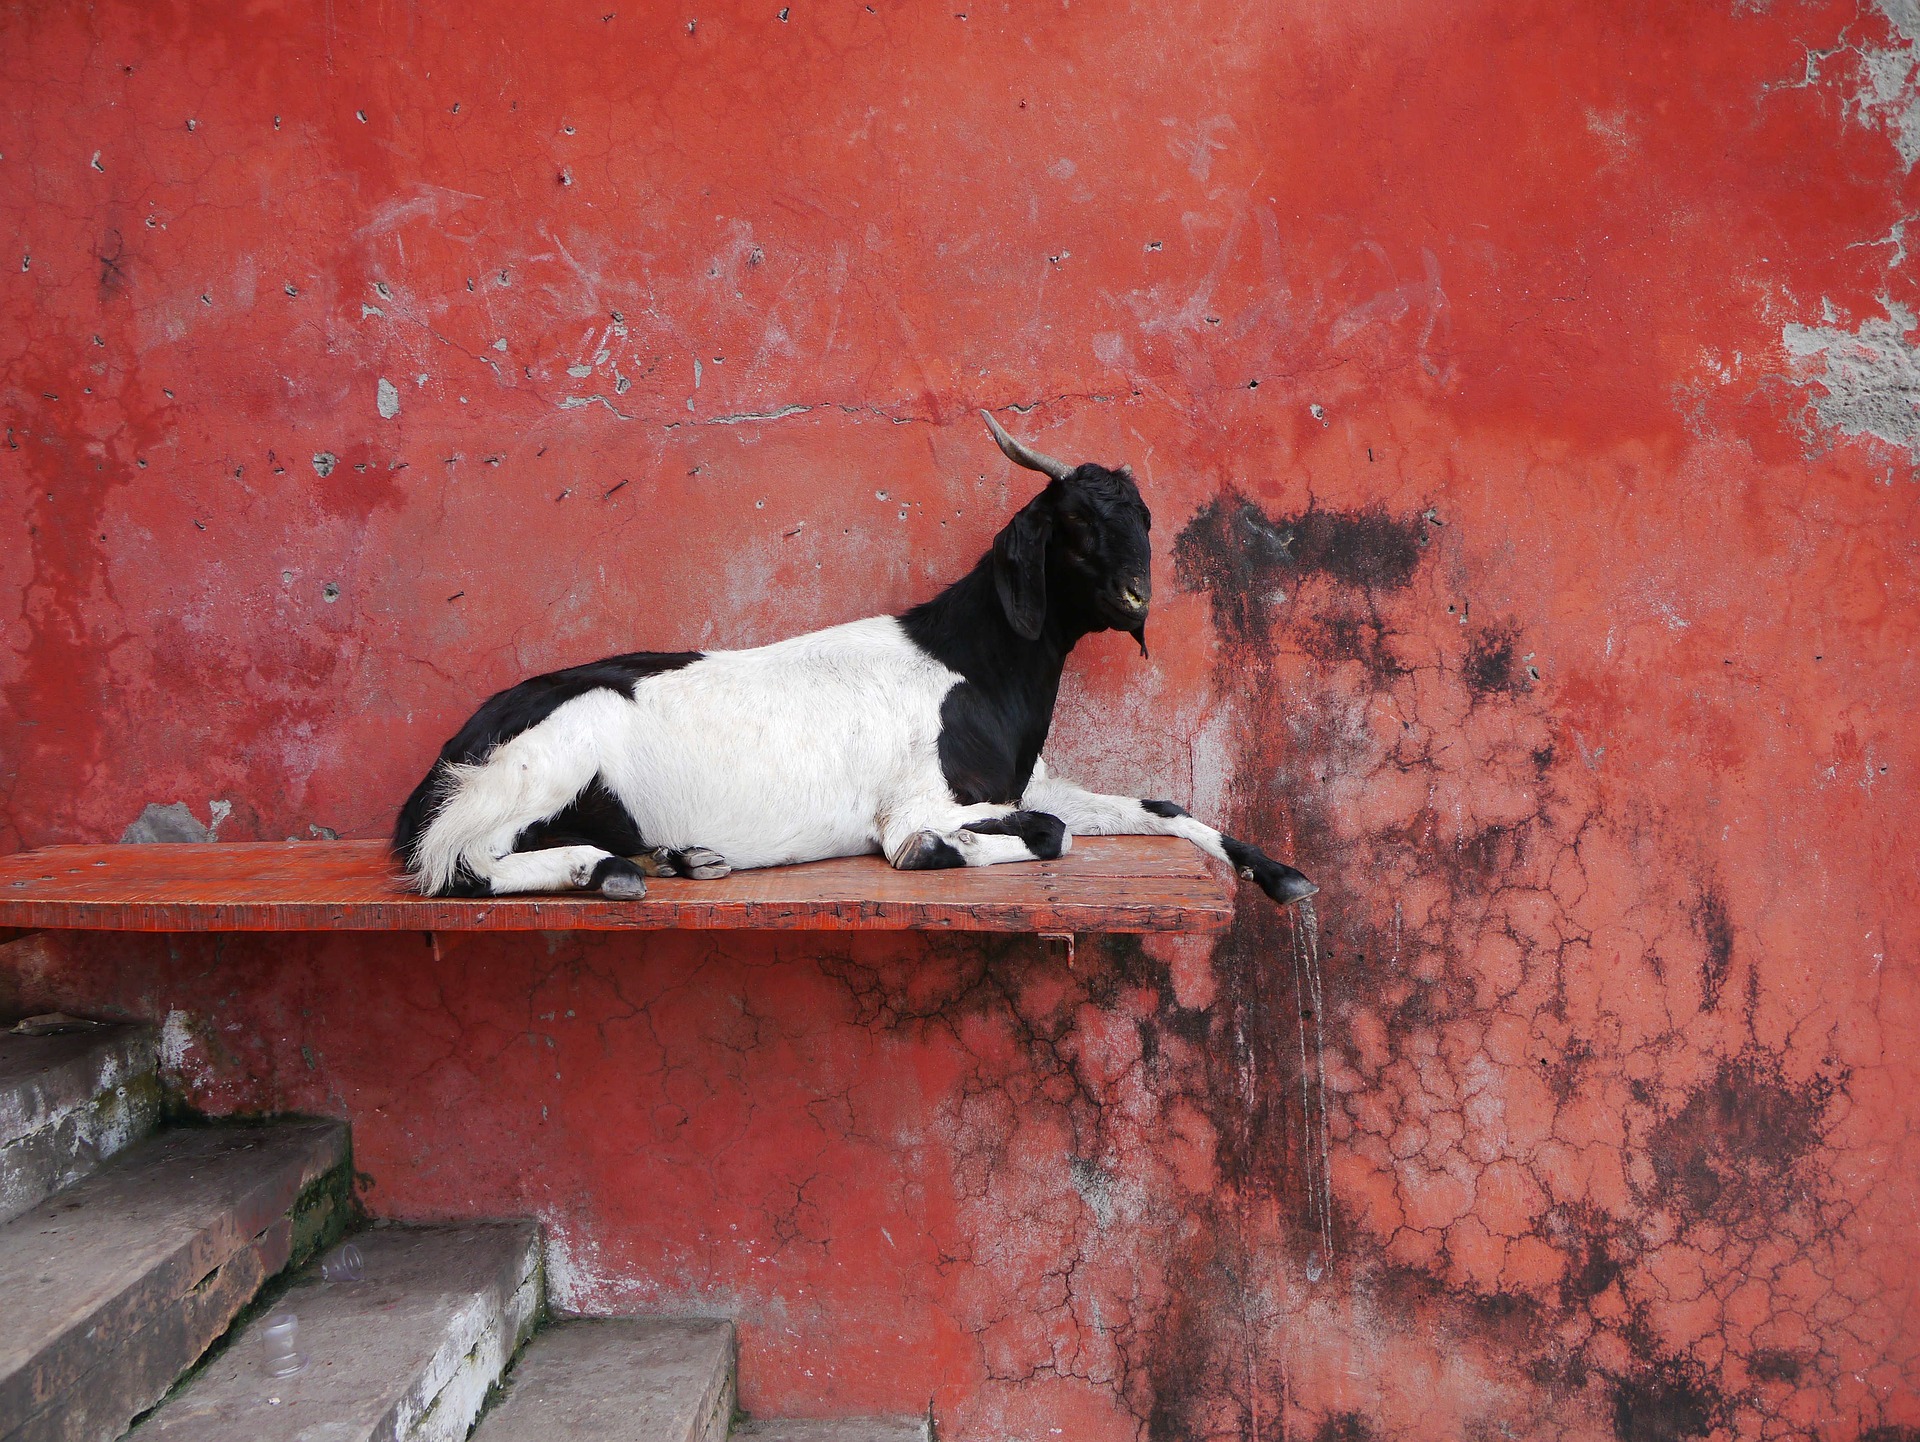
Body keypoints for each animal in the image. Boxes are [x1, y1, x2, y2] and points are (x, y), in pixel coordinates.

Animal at [389, 416, 1320, 906]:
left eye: (1143, 518)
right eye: (1076, 525)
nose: (1135, 597)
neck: (969, 665)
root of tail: (453, 752)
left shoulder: (1031, 784)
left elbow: (1161, 804)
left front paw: (1282, 875)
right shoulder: (919, 801)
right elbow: (1037, 836)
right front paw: (940, 852)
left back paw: (676, 858)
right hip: (544, 764)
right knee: (460, 864)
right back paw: (609, 870)